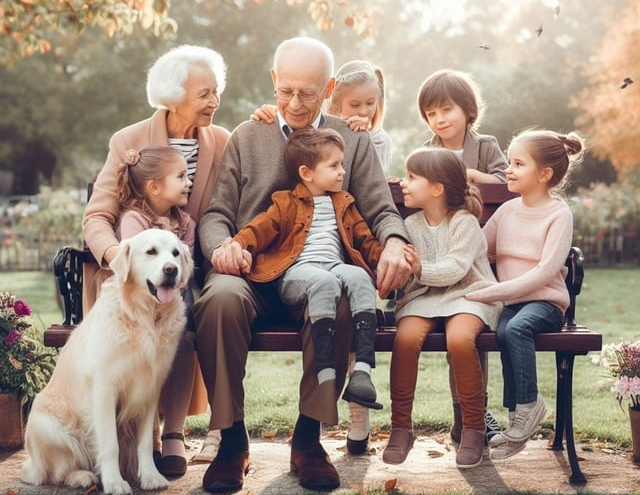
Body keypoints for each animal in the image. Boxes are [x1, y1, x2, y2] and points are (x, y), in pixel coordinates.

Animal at [21, 231, 192, 494]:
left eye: (175, 253)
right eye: (151, 251)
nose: (171, 270)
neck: (144, 318)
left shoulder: (150, 391)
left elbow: (145, 443)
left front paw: (150, 476)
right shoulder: (104, 389)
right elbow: (110, 444)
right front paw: (114, 482)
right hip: (46, 426)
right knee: (55, 472)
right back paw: (81, 476)